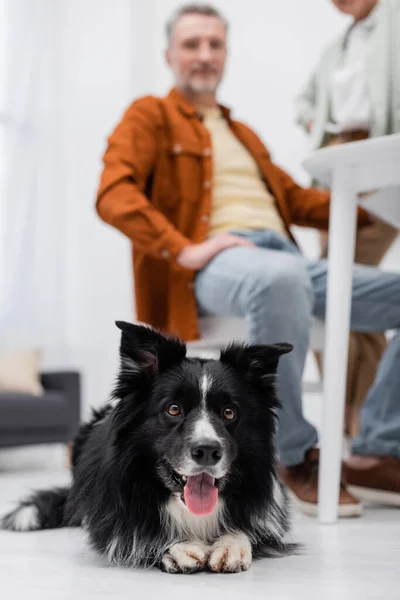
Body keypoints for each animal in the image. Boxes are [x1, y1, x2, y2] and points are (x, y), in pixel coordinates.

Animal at [1, 322, 296, 576]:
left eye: (229, 412)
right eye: (173, 409)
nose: (207, 451)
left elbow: (251, 528)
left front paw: (232, 545)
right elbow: (134, 536)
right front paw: (178, 549)